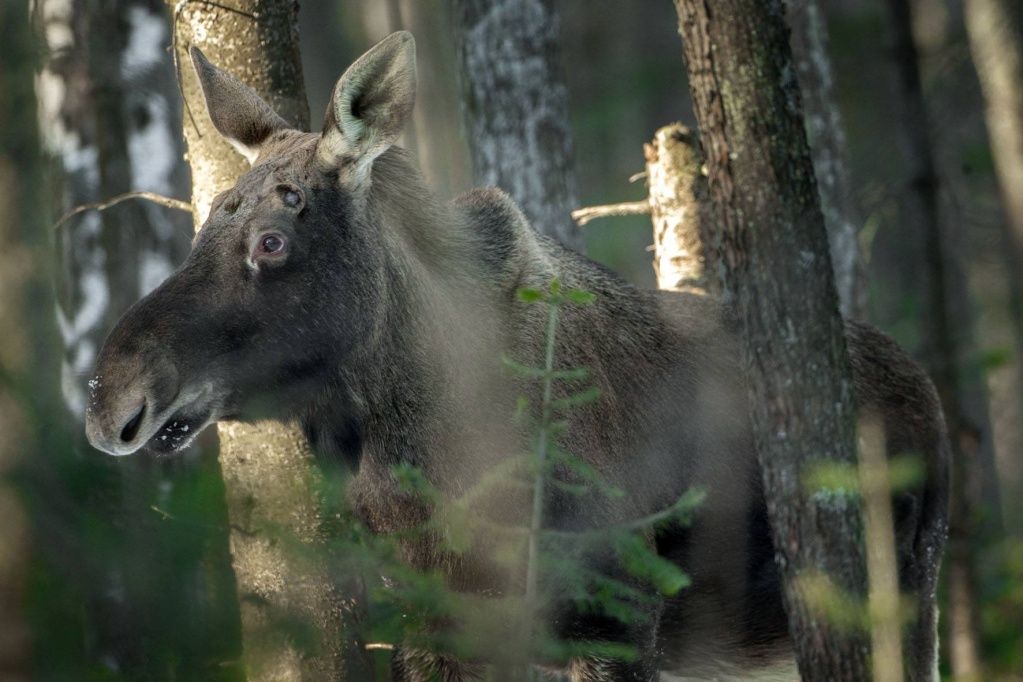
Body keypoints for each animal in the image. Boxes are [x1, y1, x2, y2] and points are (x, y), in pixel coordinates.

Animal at [87, 31, 949, 682]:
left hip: (902, 600)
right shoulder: (433, 621)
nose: (108, 397)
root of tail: (931, 394)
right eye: (204, 223)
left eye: (270, 241)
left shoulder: (612, 614)